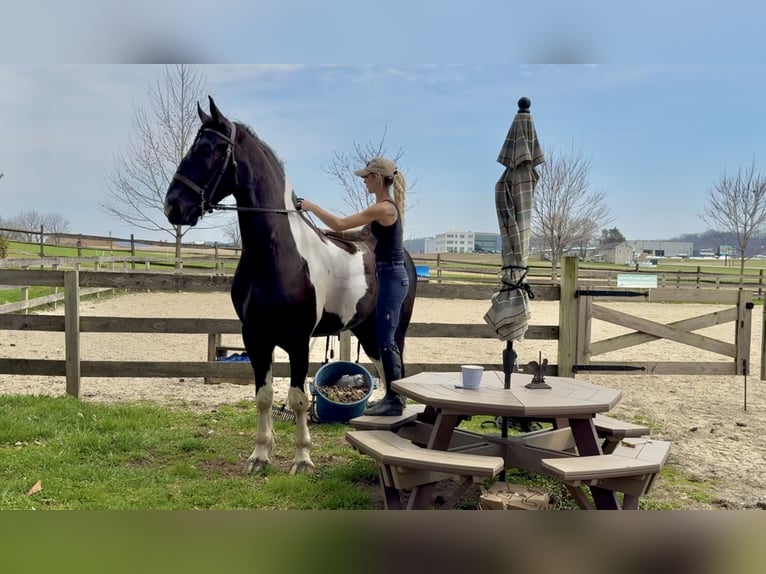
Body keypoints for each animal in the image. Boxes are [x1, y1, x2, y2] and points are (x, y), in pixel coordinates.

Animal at [164, 96, 417, 474]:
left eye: (209, 149)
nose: (174, 206)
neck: (276, 256)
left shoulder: (298, 341)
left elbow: (297, 399)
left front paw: (302, 459)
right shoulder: (255, 337)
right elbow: (264, 397)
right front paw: (260, 456)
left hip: (392, 331)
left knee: (395, 371)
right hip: (366, 332)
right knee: (386, 374)